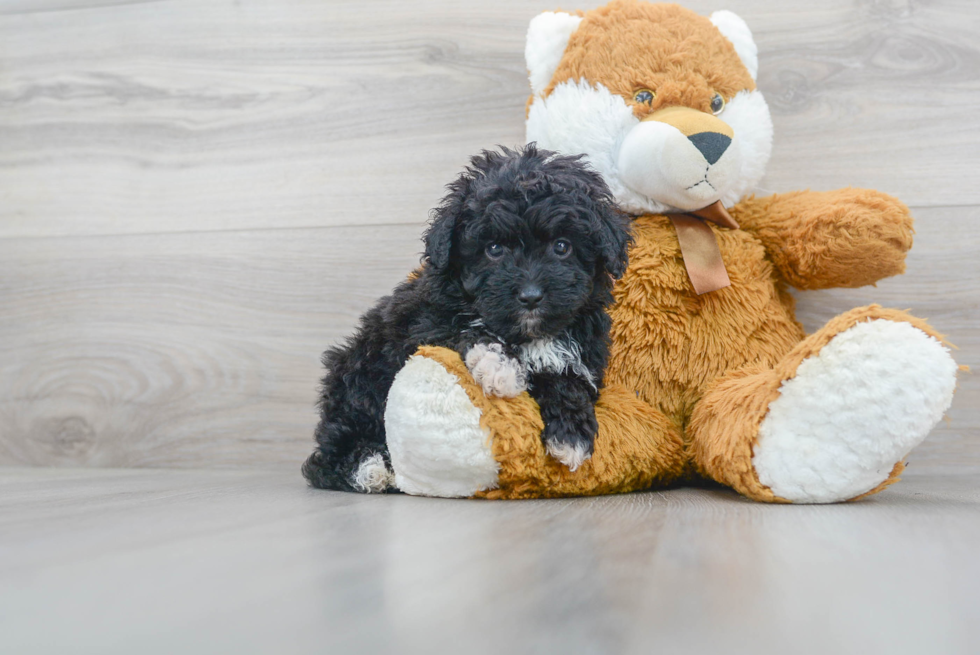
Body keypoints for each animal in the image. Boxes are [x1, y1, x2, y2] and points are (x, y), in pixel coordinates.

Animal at [302, 144, 632, 492]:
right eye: (494, 249)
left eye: (562, 246)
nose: (530, 296)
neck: (529, 336)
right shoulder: (422, 326)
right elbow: (461, 330)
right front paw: (498, 365)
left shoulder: (583, 357)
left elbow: (565, 378)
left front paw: (571, 435)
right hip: (356, 382)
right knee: (332, 452)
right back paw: (371, 468)